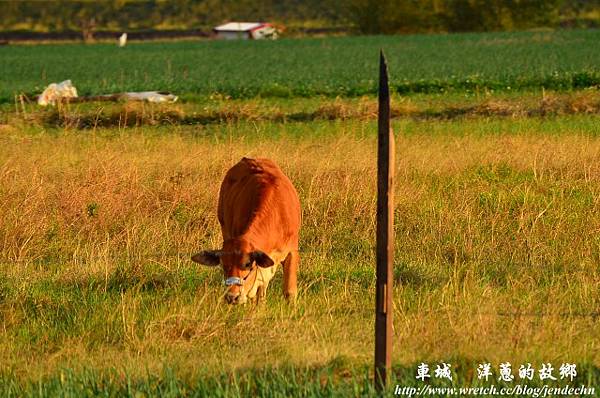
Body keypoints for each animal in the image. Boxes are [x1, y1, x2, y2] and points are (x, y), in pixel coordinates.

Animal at [192, 157, 300, 304]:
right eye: (223, 265)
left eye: (247, 264)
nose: (232, 296)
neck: (276, 215)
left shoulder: (292, 251)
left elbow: (290, 292)